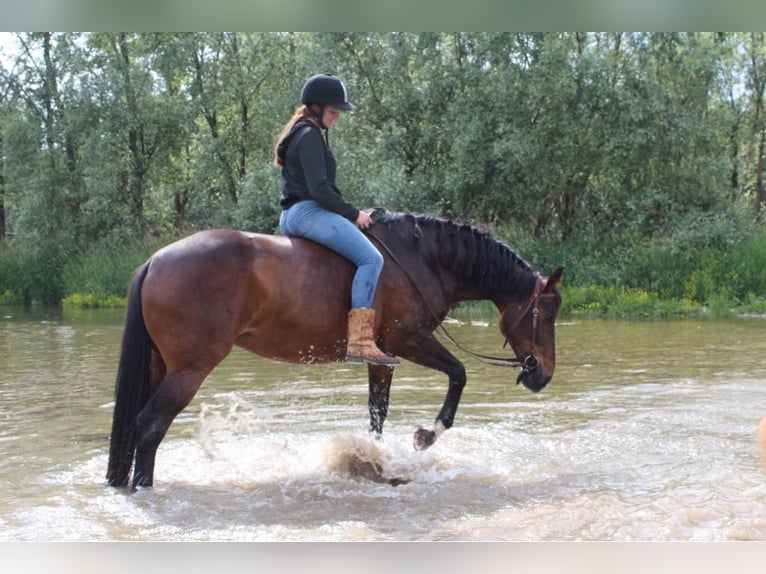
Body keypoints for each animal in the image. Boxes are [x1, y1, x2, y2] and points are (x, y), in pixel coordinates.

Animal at [106, 209, 563, 490]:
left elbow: (377, 413)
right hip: (188, 371)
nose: (543, 374)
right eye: (548, 312)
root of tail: (155, 260)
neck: (424, 258)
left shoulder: (383, 357)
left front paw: (375, 462)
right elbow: (459, 374)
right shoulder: (409, 340)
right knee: (150, 425)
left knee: (136, 427)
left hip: (160, 367)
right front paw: (426, 435)